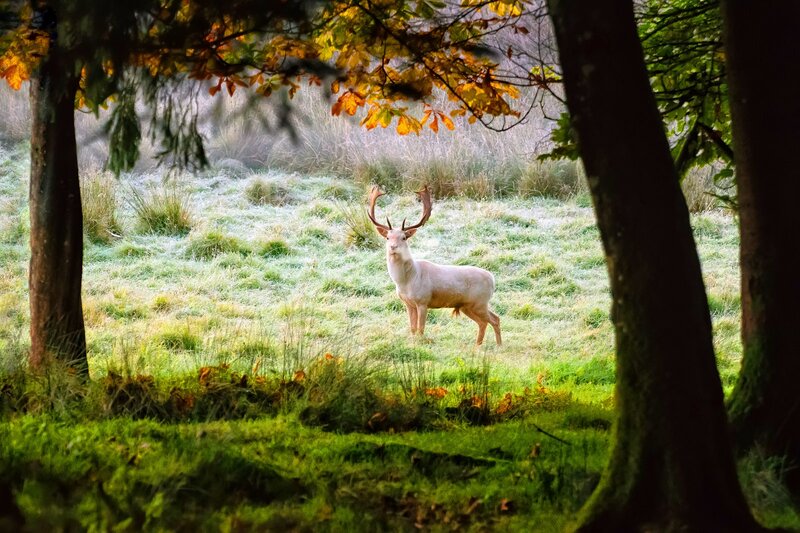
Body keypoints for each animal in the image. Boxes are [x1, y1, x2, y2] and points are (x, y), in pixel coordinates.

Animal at [367, 185, 501, 346]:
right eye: (388, 237)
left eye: (404, 237)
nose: (393, 247)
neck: (407, 280)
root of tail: (492, 279)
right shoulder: (408, 303)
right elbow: (412, 328)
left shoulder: (423, 301)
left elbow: (420, 329)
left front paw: (420, 344)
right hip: (468, 305)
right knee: (484, 322)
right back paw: (478, 346)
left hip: (480, 301)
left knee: (495, 319)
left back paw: (498, 345)